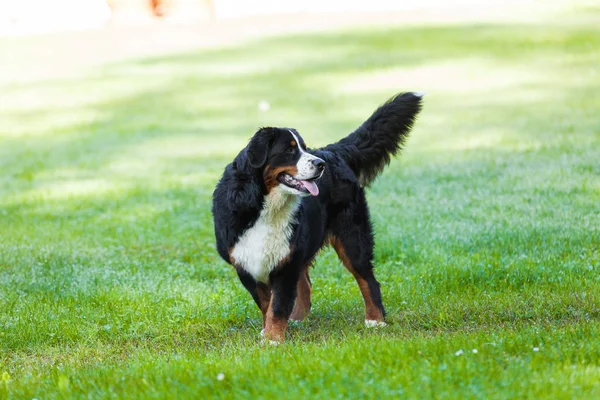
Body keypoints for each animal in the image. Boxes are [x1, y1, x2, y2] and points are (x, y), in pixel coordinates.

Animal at [213, 91, 424, 344]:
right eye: (289, 150)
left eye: (304, 148)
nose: (319, 164)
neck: (264, 205)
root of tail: (332, 151)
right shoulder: (246, 262)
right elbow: (266, 303)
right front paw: (269, 331)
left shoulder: (286, 261)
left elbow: (277, 304)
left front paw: (273, 339)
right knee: (305, 284)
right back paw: (297, 320)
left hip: (351, 238)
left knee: (368, 279)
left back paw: (375, 320)